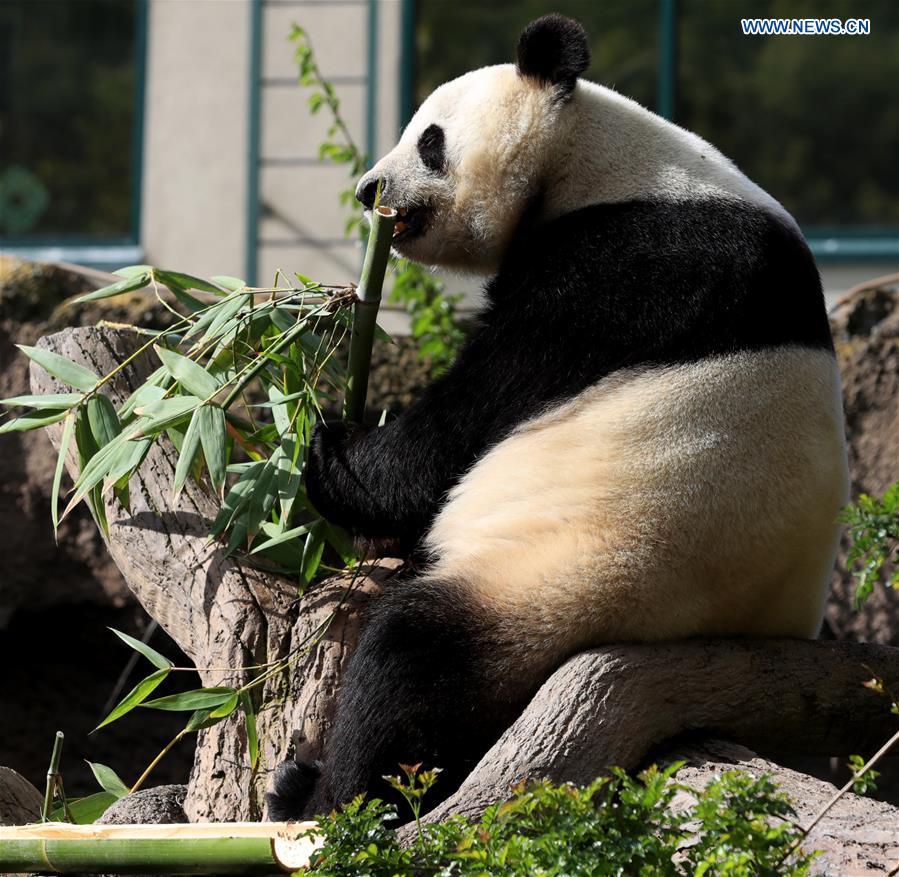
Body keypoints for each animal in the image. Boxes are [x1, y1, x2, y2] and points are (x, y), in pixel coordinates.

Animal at [264, 15, 848, 820]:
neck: (594, 161)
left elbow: (474, 410)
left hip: (570, 587)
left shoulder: (620, 268)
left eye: (429, 140)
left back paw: (327, 798)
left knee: (416, 663)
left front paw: (333, 449)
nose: (368, 190)